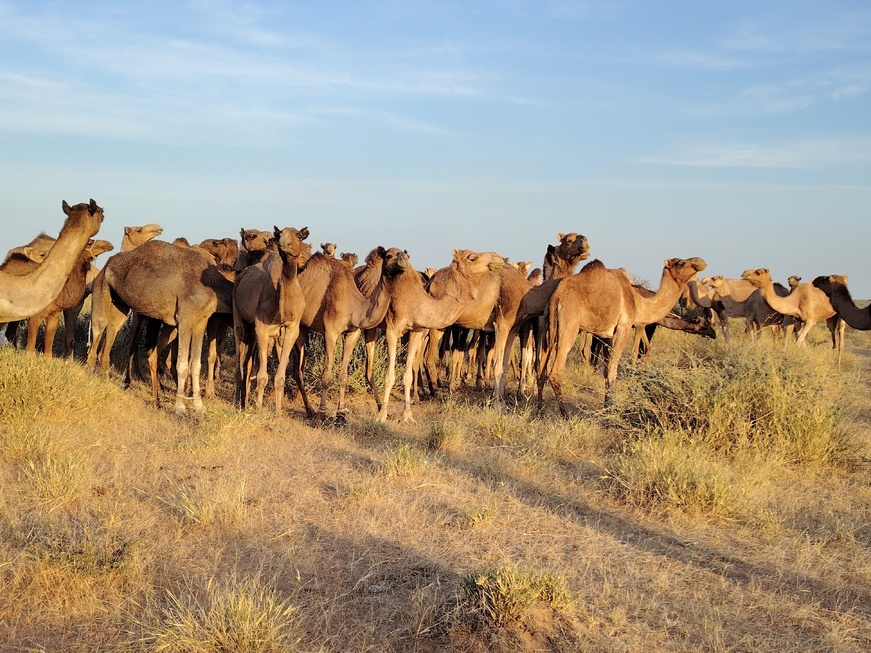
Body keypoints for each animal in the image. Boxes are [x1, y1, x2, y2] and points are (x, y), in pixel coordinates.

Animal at [87, 239, 235, 412]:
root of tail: (106, 266)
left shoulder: (201, 321)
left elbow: (196, 364)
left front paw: (199, 406)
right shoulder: (185, 320)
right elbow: (182, 365)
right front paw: (179, 407)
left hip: (120, 304)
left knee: (111, 333)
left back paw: (110, 384)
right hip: (101, 287)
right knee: (99, 326)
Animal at [233, 227, 312, 416]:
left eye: (299, 235)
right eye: (279, 233)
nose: (283, 243)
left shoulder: (292, 330)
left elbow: (280, 376)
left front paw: (277, 413)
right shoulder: (262, 328)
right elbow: (262, 376)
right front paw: (259, 409)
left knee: (247, 361)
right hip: (238, 316)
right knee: (240, 356)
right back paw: (239, 402)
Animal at [380, 248, 504, 422]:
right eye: (472, 258)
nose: (498, 257)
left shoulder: (415, 330)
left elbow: (407, 373)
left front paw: (407, 415)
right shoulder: (392, 330)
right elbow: (389, 375)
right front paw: (382, 415)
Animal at [540, 255, 708, 412]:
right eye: (681, 263)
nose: (701, 261)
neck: (639, 302)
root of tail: (556, 296)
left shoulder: (607, 334)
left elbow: (606, 370)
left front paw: (606, 405)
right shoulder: (624, 327)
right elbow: (613, 369)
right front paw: (610, 409)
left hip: (547, 326)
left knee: (541, 369)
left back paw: (539, 408)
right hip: (569, 326)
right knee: (554, 372)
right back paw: (565, 413)